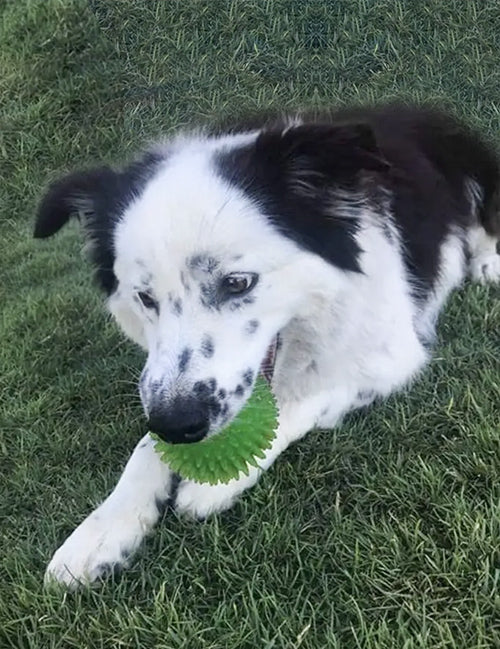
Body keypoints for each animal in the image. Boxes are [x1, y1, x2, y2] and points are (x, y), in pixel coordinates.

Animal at [35, 102, 500, 588]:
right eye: (144, 298)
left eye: (238, 283)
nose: (178, 425)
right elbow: (146, 448)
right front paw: (101, 532)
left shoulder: (393, 353)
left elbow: (303, 400)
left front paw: (212, 483)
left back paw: (487, 263)